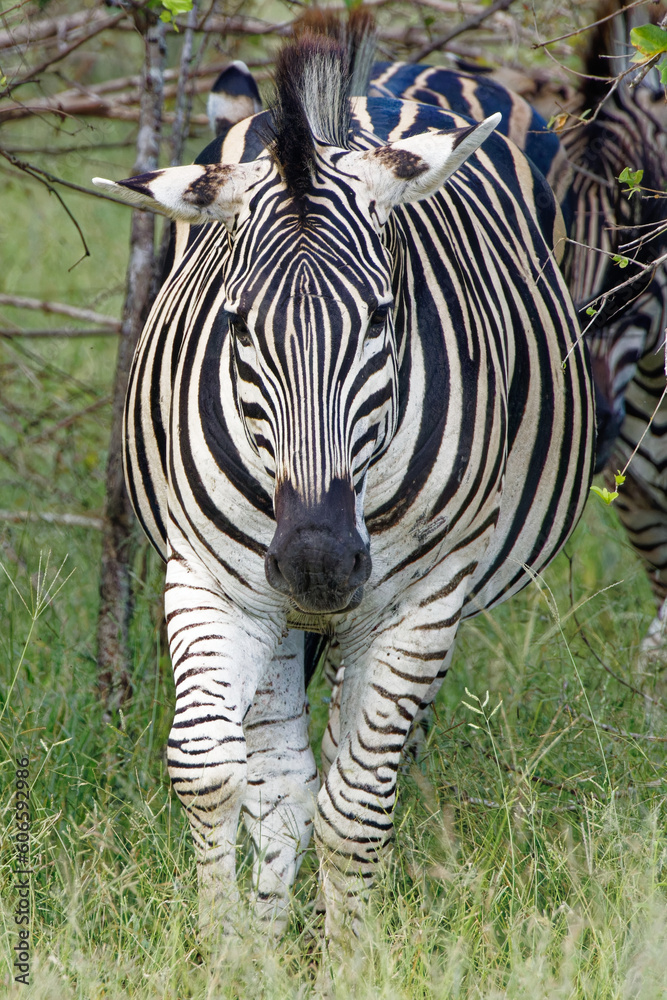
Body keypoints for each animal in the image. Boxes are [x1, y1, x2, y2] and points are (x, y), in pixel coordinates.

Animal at [93, 28, 594, 941]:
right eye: (235, 323)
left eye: (380, 316)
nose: (317, 565)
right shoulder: (210, 580)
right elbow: (213, 772)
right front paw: (229, 950)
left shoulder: (418, 603)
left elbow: (357, 805)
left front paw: (350, 953)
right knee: (285, 776)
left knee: (367, 762)